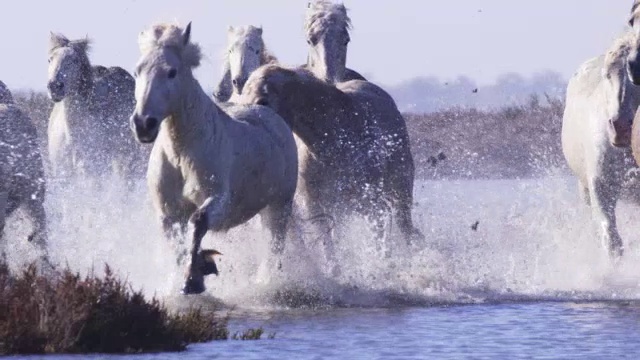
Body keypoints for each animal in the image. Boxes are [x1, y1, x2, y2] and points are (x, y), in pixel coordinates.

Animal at [132, 22, 300, 296]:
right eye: (138, 71)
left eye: (171, 72)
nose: (143, 124)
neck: (182, 154)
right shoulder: (168, 212)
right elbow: (177, 244)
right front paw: (185, 279)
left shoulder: (220, 200)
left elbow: (198, 223)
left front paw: (193, 279)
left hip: (278, 207)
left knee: (273, 247)